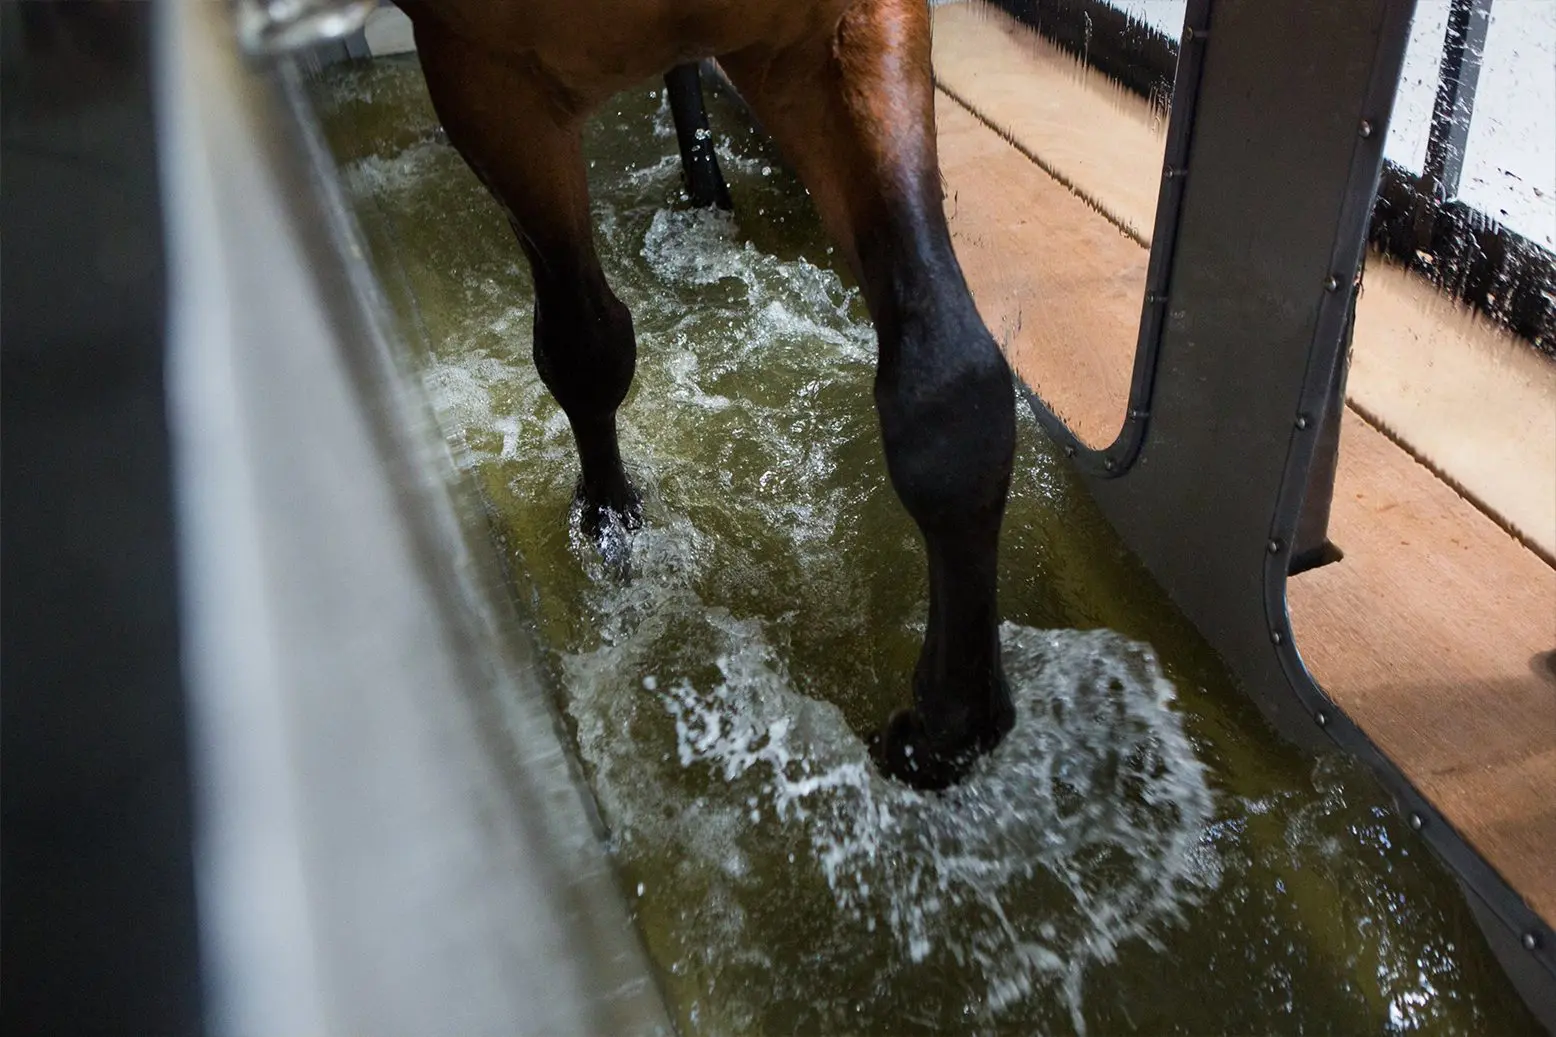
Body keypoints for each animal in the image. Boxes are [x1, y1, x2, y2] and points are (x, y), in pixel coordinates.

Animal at [390, 0, 1019, 790]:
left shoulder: (841, 31)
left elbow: (950, 393)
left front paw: (945, 726)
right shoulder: (487, 79)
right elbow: (585, 347)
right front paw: (609, 523)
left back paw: (708, 196)